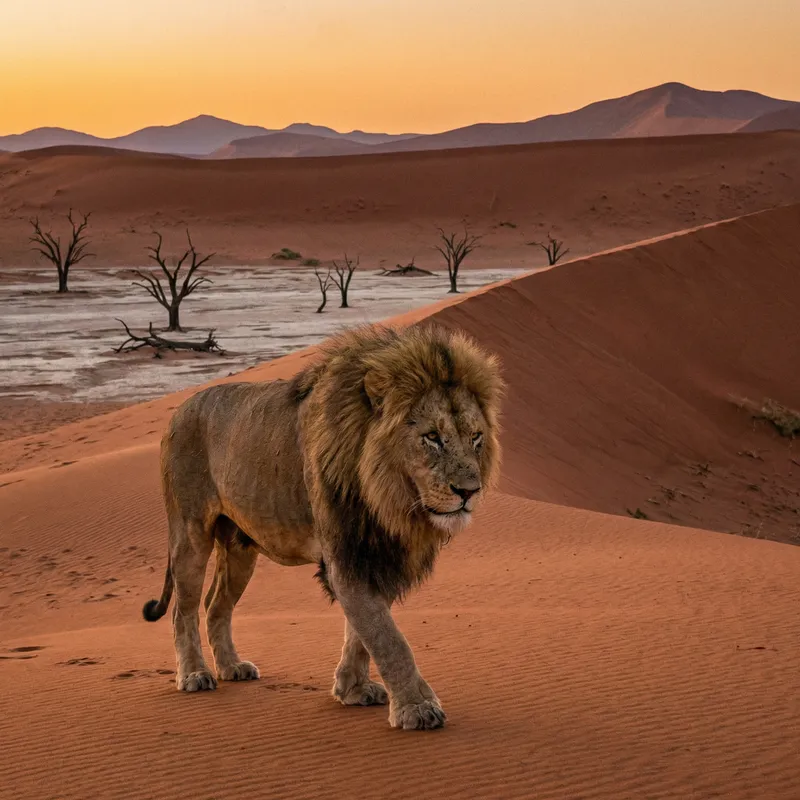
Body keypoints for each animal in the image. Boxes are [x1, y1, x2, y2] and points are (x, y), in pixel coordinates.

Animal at [143, 323, 503, 730]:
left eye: (475, 437)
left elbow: (363, 631)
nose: (469, 491)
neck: (388, 497)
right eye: (432, 437)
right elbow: (388, 638)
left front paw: (352, 689)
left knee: (216, 604)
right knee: (183, 609)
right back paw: (194, 674)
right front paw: (417, 707)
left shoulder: (373, 553)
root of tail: (178, 410)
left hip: (239, 548)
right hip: (190, 533)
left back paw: (232, 667)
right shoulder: (345, 553)